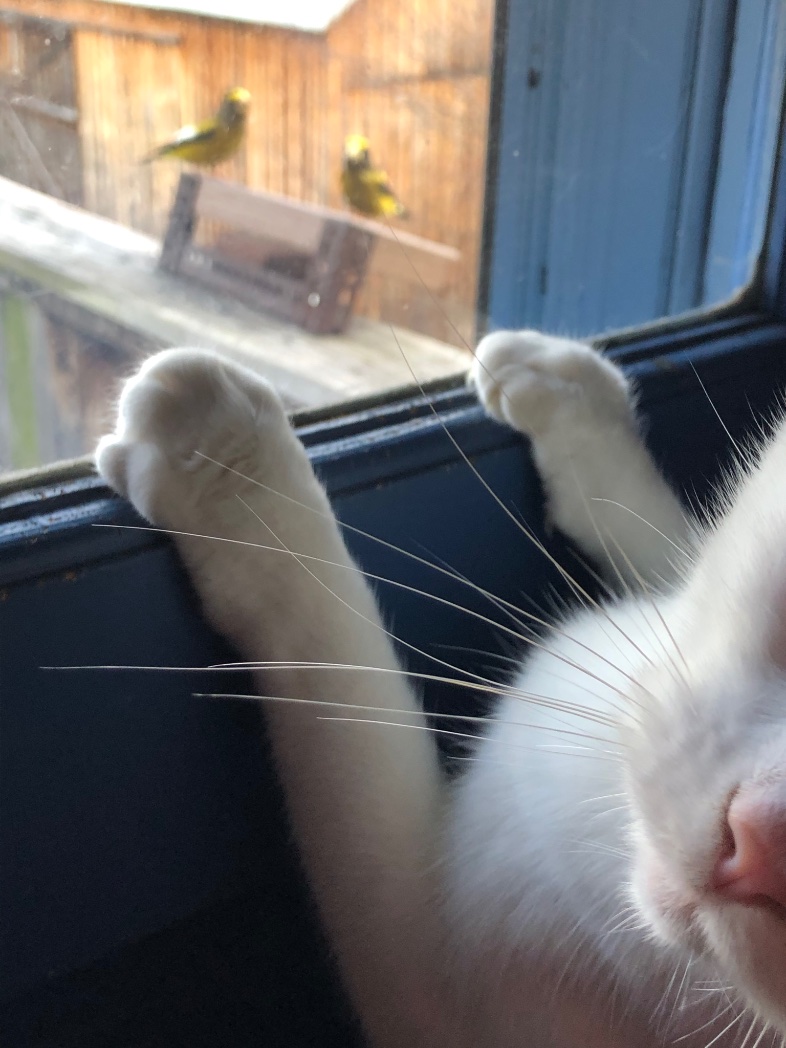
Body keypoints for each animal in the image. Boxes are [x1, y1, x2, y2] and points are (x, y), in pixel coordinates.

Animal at [93, 333, 786, 1048]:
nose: (765, 844)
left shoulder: (434, 976)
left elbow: (332, 665)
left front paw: (220, 450)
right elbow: (675, 545)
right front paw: (569, 399)